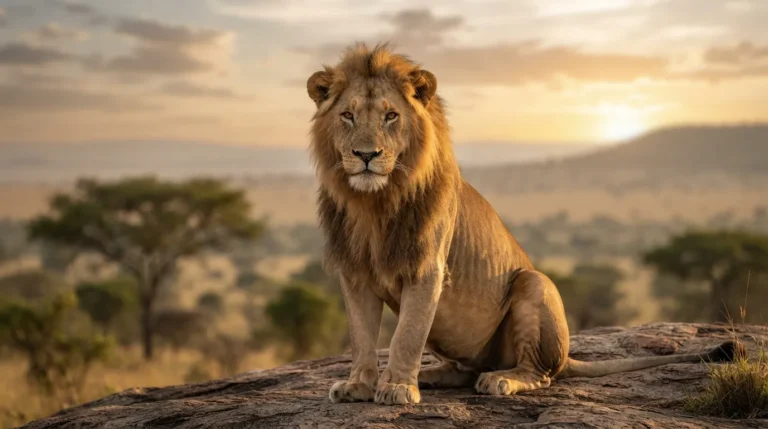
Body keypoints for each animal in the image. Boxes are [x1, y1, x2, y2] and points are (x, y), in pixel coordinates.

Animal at [305, 43, 740, 406]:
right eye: (347, 116)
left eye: (391, 116)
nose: (366, 155)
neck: (373, 203)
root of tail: (567, 357)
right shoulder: (355, 272)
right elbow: (362, 337)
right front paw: (360, 385)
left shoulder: (428, 268)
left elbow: (407, 335)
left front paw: (396, 387)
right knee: (464, 371)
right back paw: (432, 375)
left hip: (533, 283)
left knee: (538, 373)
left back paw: (501, 379)